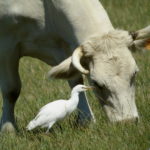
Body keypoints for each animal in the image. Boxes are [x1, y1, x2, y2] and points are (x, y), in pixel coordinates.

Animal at [0, 0, 150, 132]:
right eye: (96, 83)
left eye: (134, 73)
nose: (128, 122)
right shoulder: (7, 46)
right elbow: (11, 90)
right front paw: (8, 129)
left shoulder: (65, 47)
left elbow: (75, 81)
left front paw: (86, 120)